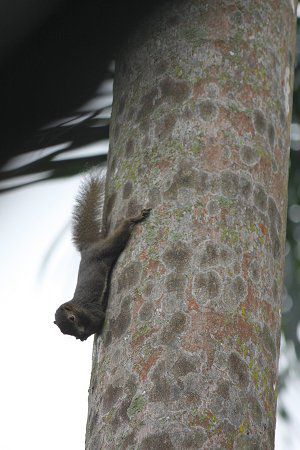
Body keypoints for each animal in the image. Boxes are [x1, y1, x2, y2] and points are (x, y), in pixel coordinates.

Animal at [54, 171, 150, 342]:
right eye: (63, 331)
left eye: (72, 318)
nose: (79, 336)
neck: (78, 307)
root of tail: (87, 249)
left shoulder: (92, 311)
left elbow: (99, 320)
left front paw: (87, 333)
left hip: (104, 249)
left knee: (119, 236)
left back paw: (134, 218)